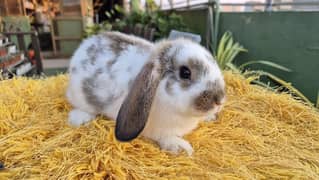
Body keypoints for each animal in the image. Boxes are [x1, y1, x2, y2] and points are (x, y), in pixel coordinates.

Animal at [67, 31, 228, 155]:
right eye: (185, 72)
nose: (220, 100)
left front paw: (210, 117)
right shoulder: (157, 129)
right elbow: (164, 137)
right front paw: (181, 147)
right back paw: (80, 118)